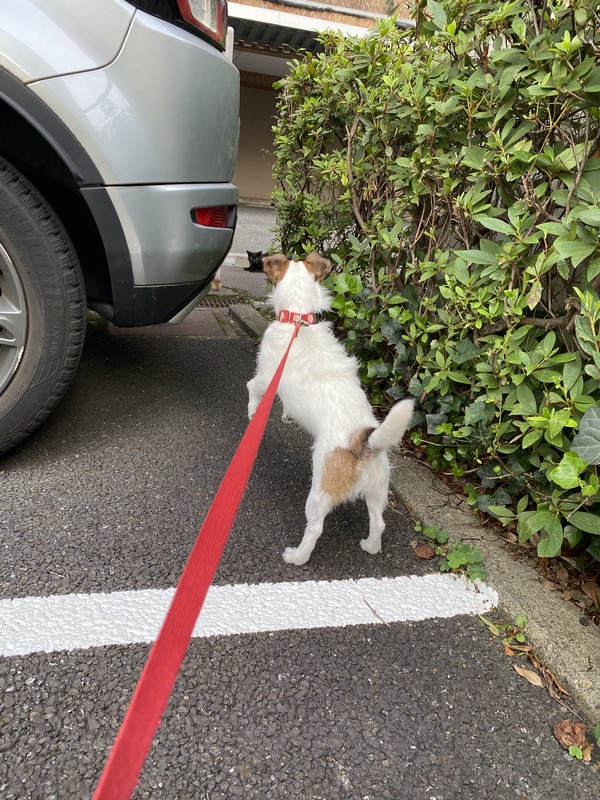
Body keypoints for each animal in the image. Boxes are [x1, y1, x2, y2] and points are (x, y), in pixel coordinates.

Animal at [247, 252, 414, 565]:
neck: (298, 319)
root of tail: (362, 441)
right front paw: (287, 415)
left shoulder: (267, 378)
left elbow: (252, 387)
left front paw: (252, 413)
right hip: (378, 490)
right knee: (378, 522)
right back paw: (370, 546)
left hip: (320, 492)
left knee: (315, 528)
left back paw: (297, 556)